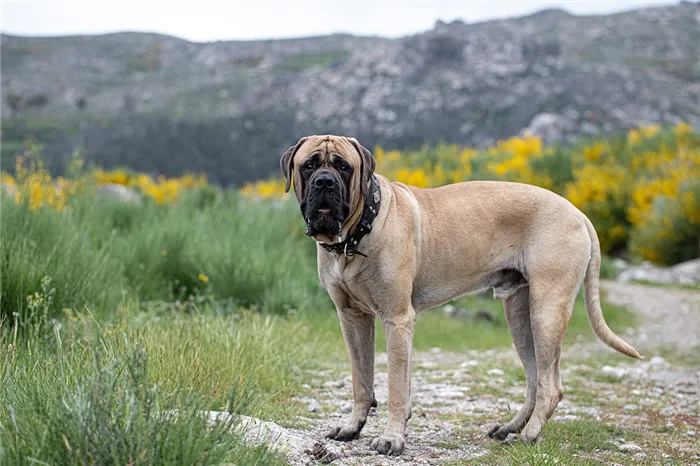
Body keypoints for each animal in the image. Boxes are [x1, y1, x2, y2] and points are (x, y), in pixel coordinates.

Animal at [282, 134, 644, 456]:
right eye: (309, 165)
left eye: (343, 167)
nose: (325, 183)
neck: (356, 235)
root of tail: (578, 213)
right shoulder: (352, 318)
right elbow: (362, 378)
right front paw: (352, 427)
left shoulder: (397, 319)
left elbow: (395, 384)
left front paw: (391, 439)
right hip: (520, 315)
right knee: (535, 378)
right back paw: (511, 427)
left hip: (547, 310)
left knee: (550, 386)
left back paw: (529, 434)